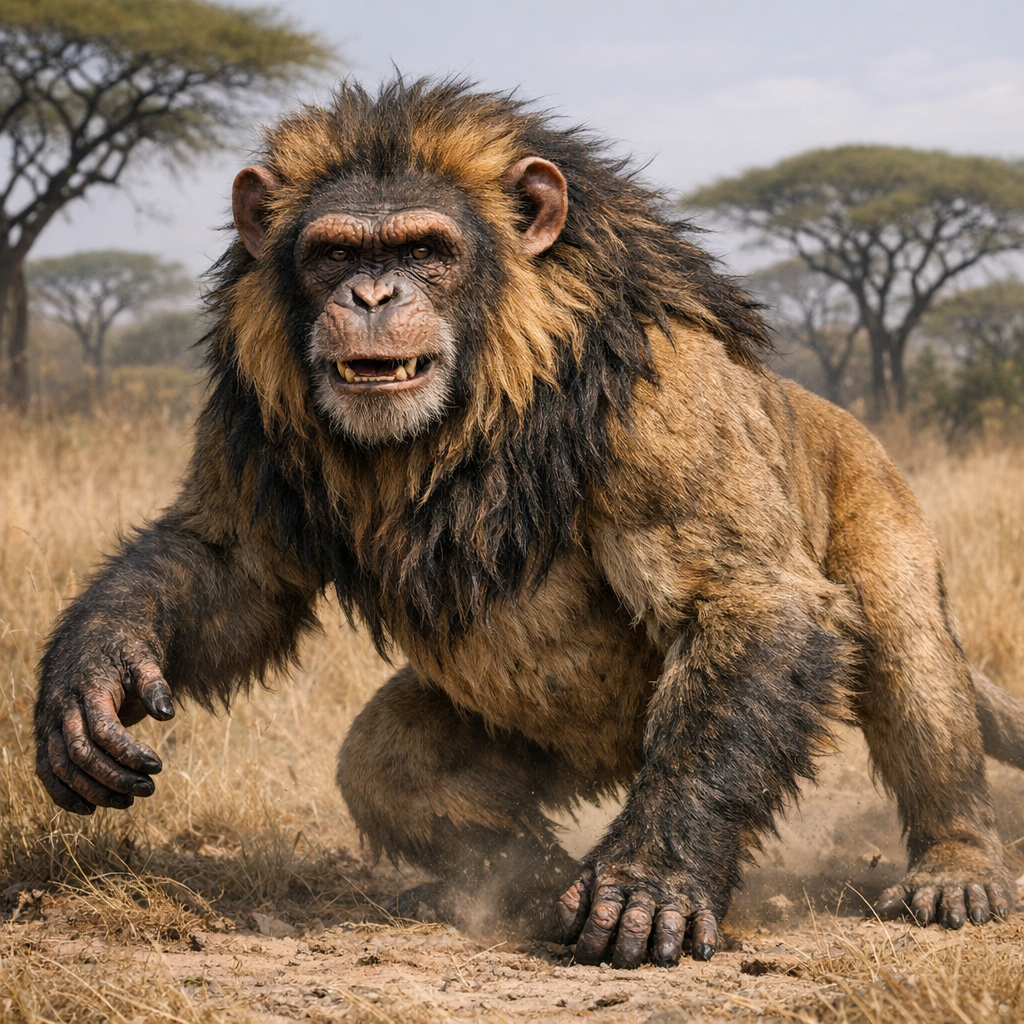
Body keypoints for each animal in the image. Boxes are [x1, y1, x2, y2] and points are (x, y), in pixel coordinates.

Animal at [34, 79, 1024, 969]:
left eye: (425, 248)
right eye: (334, 253)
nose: (371, 298)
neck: (479, 394)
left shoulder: (669, 404)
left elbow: (744, 600)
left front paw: (651, 885)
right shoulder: (253, 408)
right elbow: (230, 560)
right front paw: (92, 676)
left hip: (879, 520)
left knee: (907, 659)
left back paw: (956, 868)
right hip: (538, 741)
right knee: (387, 764)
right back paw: (524, 884)